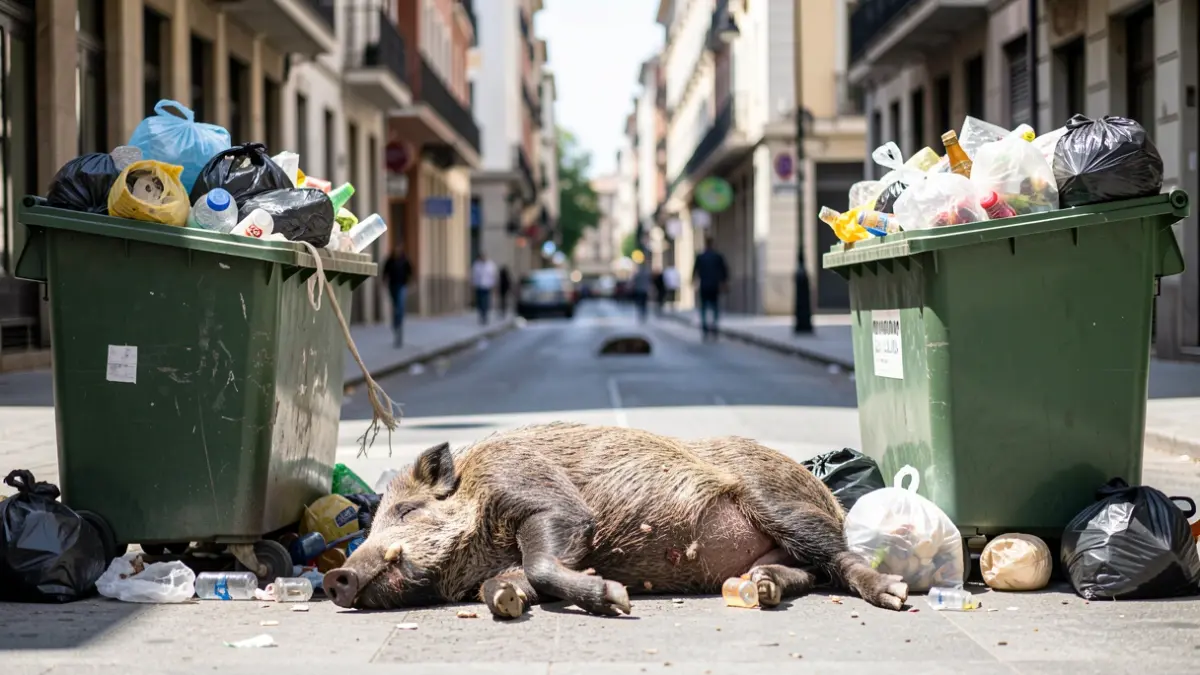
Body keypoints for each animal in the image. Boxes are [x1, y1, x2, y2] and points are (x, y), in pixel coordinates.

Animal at [323, 423, 908, 617]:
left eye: (407, 510)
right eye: (371, 526)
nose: (334, 576)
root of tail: (825, 493)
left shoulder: (544, 496)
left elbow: (540, 560)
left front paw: (618, 600)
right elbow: (516, 579)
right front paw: (506, 602)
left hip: (776, 501)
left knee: (839, 558)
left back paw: (895, 594)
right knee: (806, 571)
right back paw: (760, 587)